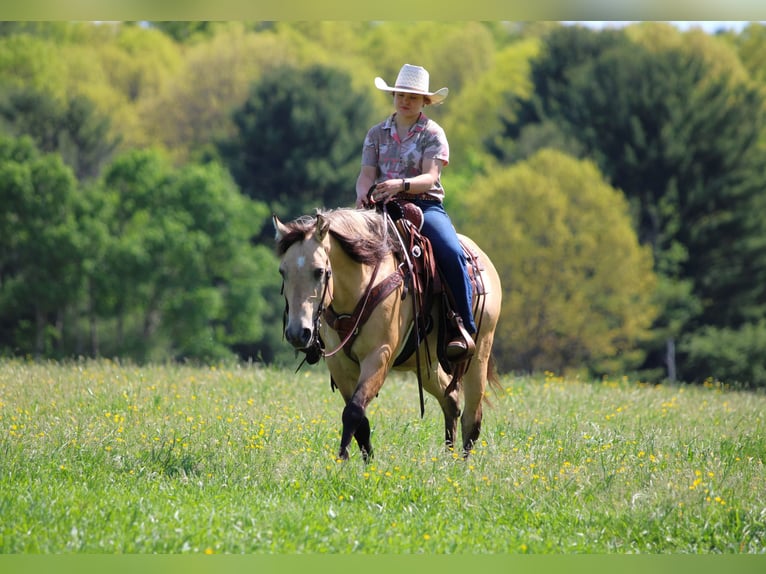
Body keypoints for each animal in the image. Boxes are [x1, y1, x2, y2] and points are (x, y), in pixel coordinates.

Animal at [273, 207, 502, 461]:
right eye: (283, 271)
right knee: (450, 401)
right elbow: (360, 420)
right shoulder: (339, 364)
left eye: (319, 271)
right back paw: (447, 459)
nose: (297, 333)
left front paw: (342, 460)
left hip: (478, 354)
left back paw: (462, 464)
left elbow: (353, 411)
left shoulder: (379, 355)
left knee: (472, 418)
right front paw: (365, 462)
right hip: (427, 364)